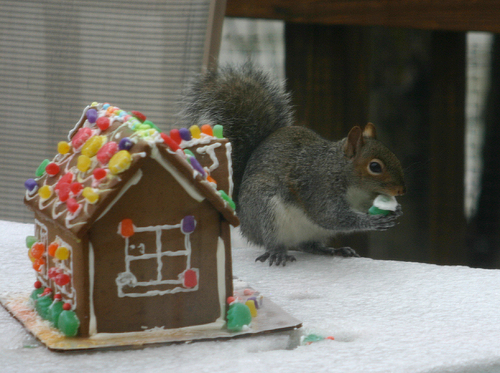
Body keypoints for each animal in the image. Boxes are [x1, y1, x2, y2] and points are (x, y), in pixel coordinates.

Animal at [180, 63, 406, 264]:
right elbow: (331, 215)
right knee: (275, 241)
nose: (401, 190)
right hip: (267, 211)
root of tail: (244, 219)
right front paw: (372, 221)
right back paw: (277, 252)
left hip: (316, 232)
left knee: (309, 245)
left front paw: (397, 210)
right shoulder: (319, 187)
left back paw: (334, 250)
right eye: (375, 167)